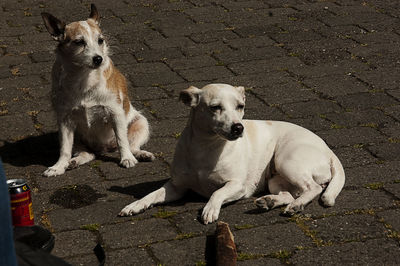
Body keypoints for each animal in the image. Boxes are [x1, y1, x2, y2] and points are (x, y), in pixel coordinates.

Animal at [40, 3, 153, 177]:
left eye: (100, 40)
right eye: (79, 42)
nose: (98, 58)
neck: (84, 78)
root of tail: (103, 149)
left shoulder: (116, 113)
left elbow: (122, 140)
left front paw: (126, 159)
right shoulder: (65, 121)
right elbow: (65, 149)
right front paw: (58, 166)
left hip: (141, 123)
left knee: (131, 145)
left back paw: (140, 154)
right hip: (77, 137)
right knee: (87, 154)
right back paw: (73, 162)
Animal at [118, 83, 344, 224]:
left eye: (240, 106)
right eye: (215, 107)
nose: (238, 127)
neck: (206, 148)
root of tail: (328, 150)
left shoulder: (237, 186)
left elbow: (217, 193)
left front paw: (209, 209)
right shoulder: (176, 187)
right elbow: (151, 195)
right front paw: (135, 205)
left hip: (287, 162)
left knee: (313, 188)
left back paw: (296, 206)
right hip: (275, 179)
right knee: (290, 193)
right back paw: (270, 202)